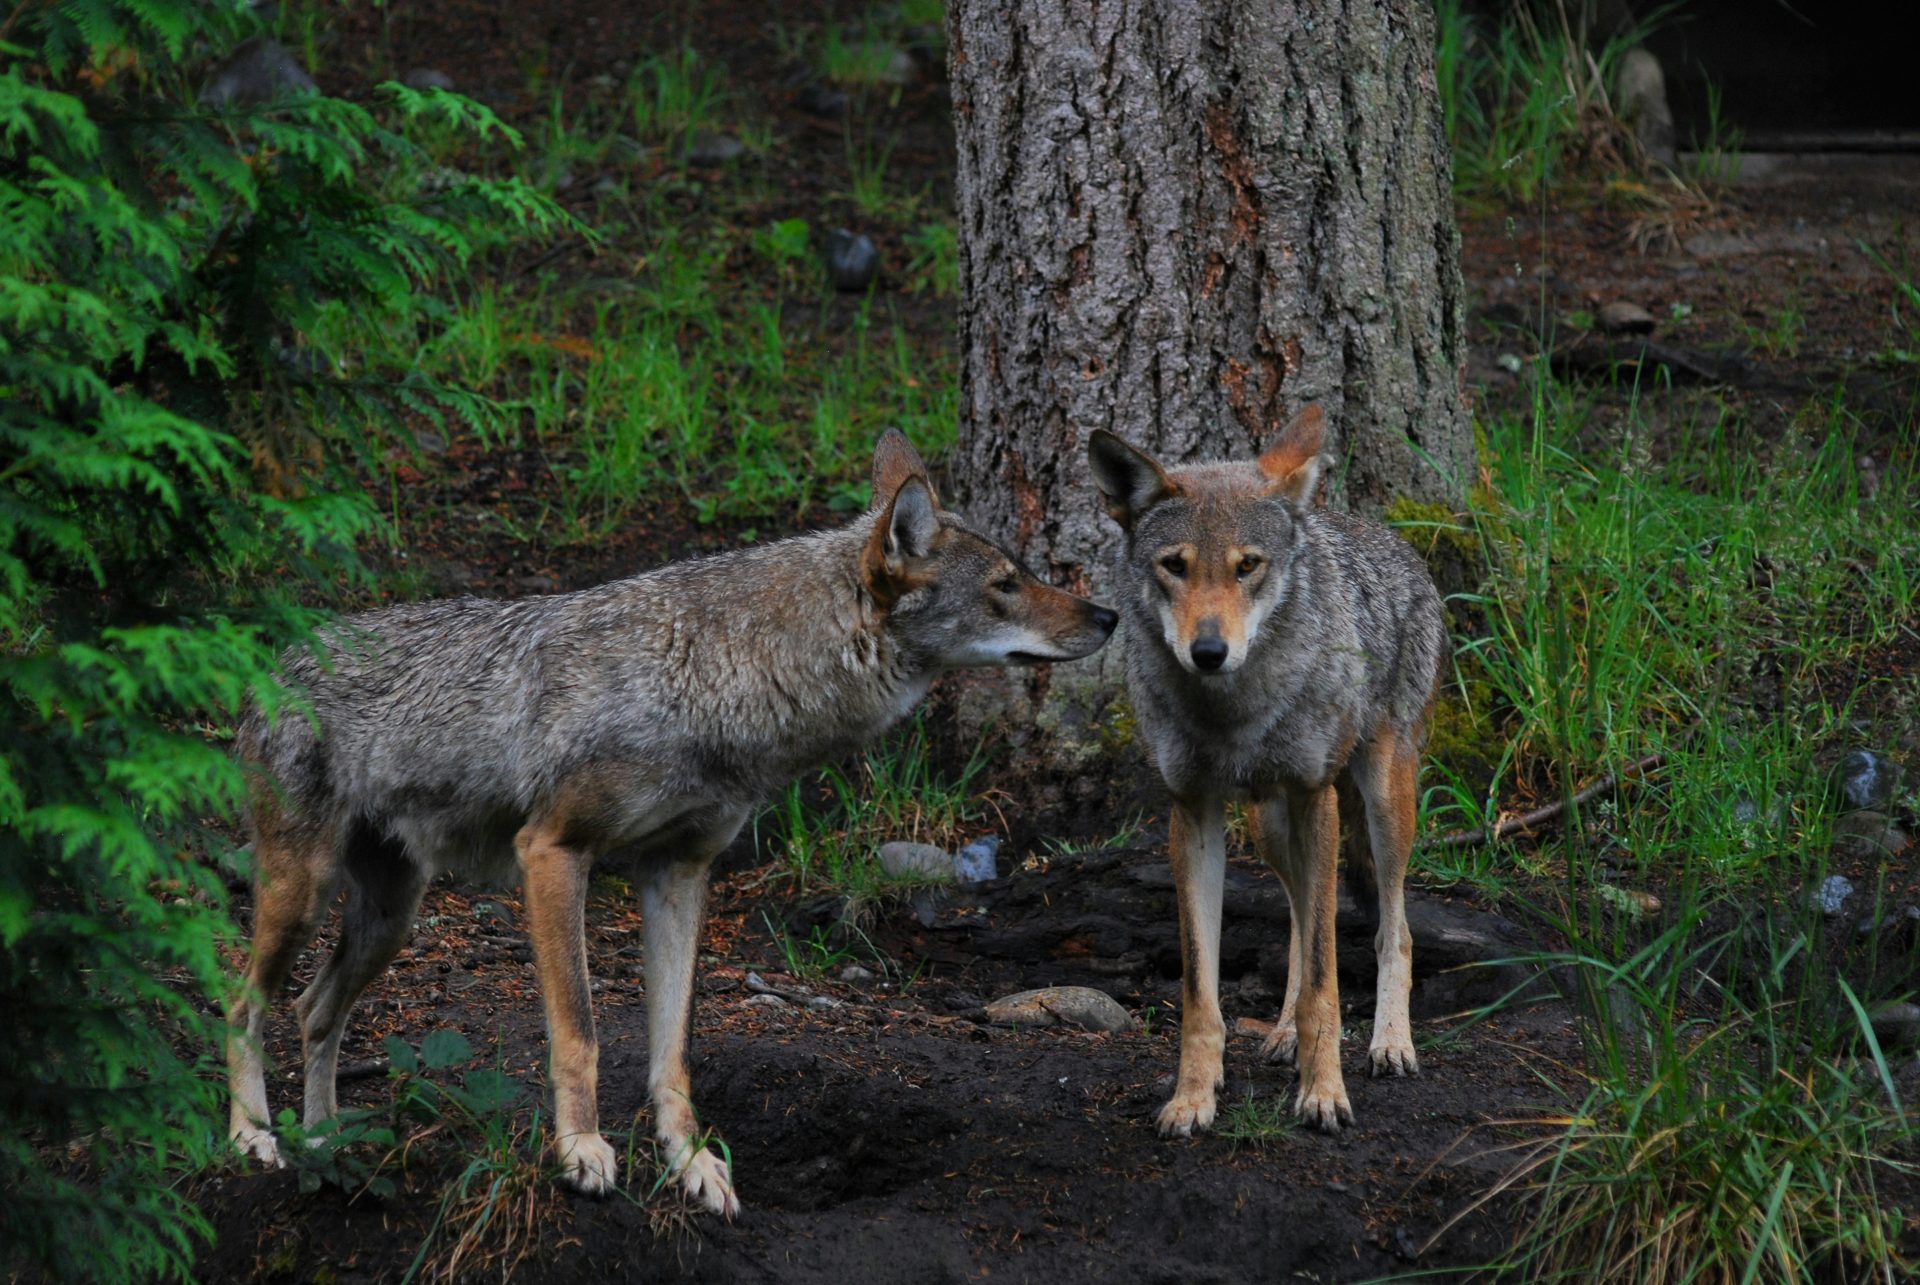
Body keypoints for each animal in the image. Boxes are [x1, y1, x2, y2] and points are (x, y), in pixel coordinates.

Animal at [226, 431, 1117, 1216]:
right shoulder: (553, 853)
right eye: (1006, 584)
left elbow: (673, 1053)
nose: (1109, 614)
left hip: (390, 919)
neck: (713, 676)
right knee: (243, 1004)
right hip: (305, 896)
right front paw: (581, 1152)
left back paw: (327, 1143)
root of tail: (277, 656)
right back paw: (255, 1139)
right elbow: (580, 1033)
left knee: (312, 1012)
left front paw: (692, 1165)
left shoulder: (681, 875)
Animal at [1087, 406, 1445, 1135]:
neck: (1233, 712)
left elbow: (1326, 983)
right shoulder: (1193, 811)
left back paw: (1390, 1042)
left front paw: (1325, 1093)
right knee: (1302, 922)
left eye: (1247, 566)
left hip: (1380, 802)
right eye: (1175, 567)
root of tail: (1382, 535)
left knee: (1393, 928)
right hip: (1268, 825)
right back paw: (1281, 1034)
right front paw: (1192, 1098)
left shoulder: (1314, 795)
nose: (1208, 651)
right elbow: (1203, 991)